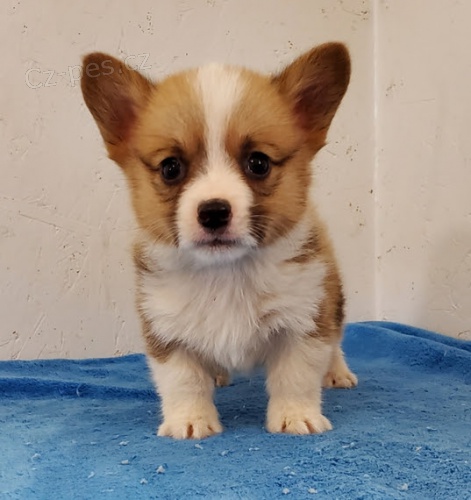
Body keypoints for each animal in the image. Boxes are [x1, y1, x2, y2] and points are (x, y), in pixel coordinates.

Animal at [82, 44, 358, 442]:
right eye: (170, 168)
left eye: (258, 163)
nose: (213, 212)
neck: (225, 273)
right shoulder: (165, 329)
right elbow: (183, 380)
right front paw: (190, 421)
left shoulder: (302, 322)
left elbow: (296, 376)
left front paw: (296, 417)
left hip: (330, 300)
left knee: (335, 340)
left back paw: (337, 373)